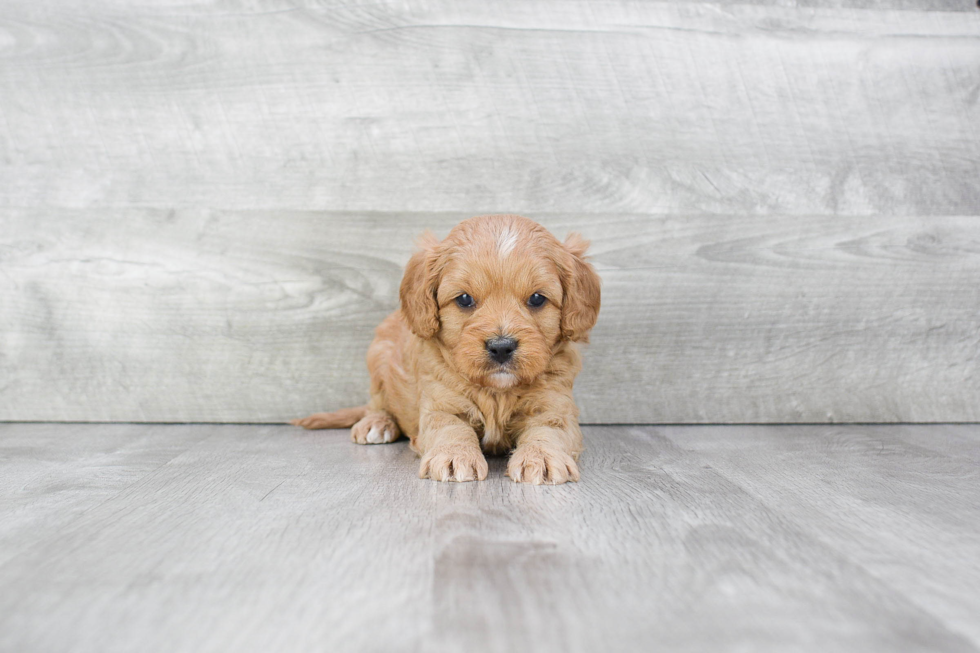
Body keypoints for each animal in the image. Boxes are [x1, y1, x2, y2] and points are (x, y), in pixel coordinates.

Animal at [288, 215, 600, 484]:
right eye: (464, 299)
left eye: (537, 298)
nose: (501, 347)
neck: (496, 392)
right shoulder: (440, 405)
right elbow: (452, 428)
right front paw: (454, 456)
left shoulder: (554, 407)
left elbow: (548, 430)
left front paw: (542, 457)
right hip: (377, 355)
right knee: (376, 402)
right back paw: (376, 423)